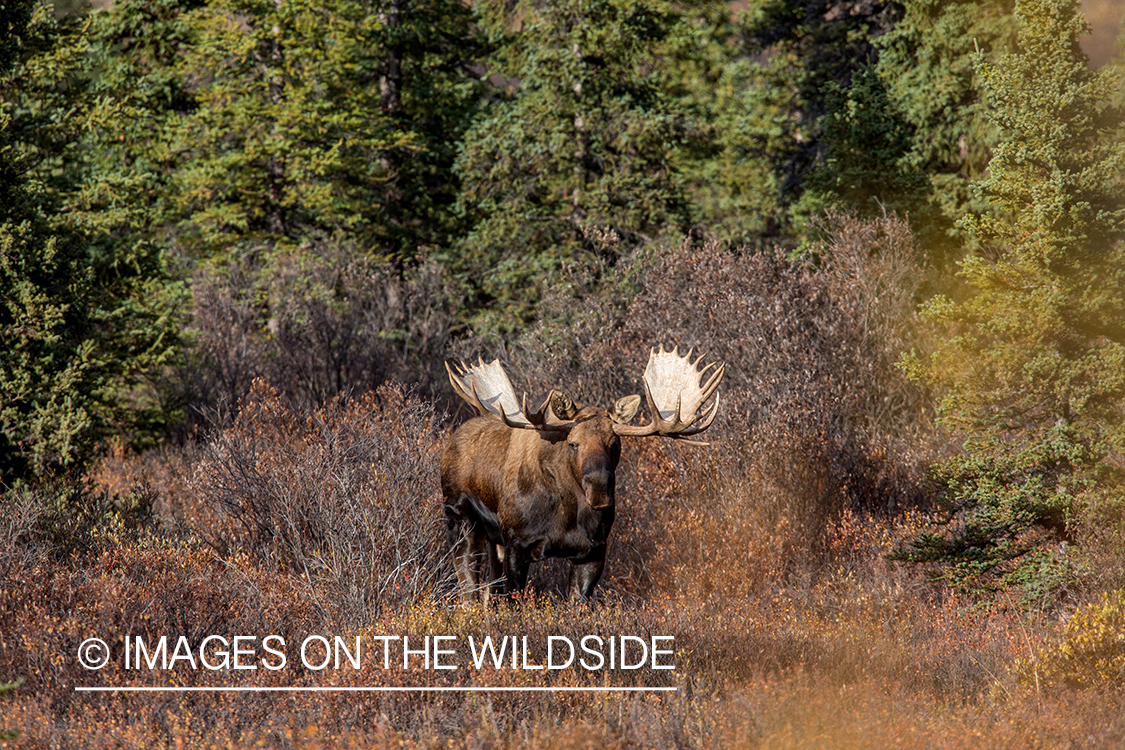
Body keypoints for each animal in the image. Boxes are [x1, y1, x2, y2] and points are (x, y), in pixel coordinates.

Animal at [438, 348, 720, 602]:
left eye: (614, 443)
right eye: (573, 443)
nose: (599, 489)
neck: (566, 515)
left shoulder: (594, 551)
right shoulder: (517, 544)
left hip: (491, 538)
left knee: (488, 592)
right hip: (460, 520)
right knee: (469, 591)